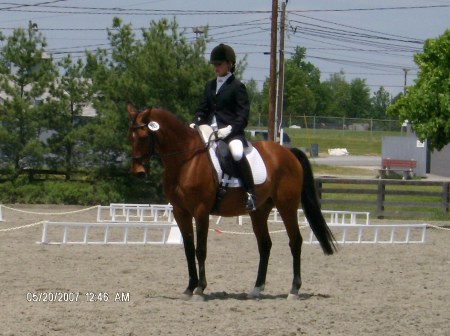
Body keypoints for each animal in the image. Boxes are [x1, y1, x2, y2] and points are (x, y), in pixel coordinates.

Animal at [125, 103, 336, 300]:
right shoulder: (180, 211)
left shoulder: (201, 211)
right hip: (259, 211)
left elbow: (200, 249)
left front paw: (200, 290)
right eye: (130, 136)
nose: (138, 172)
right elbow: (188, 249)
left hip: (287, 206)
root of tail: (288, 152)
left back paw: (293, 290)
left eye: (143, 136)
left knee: (295, 241)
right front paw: (189, 289)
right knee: (265, 245)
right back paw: (256, 289)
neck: (186, 160)